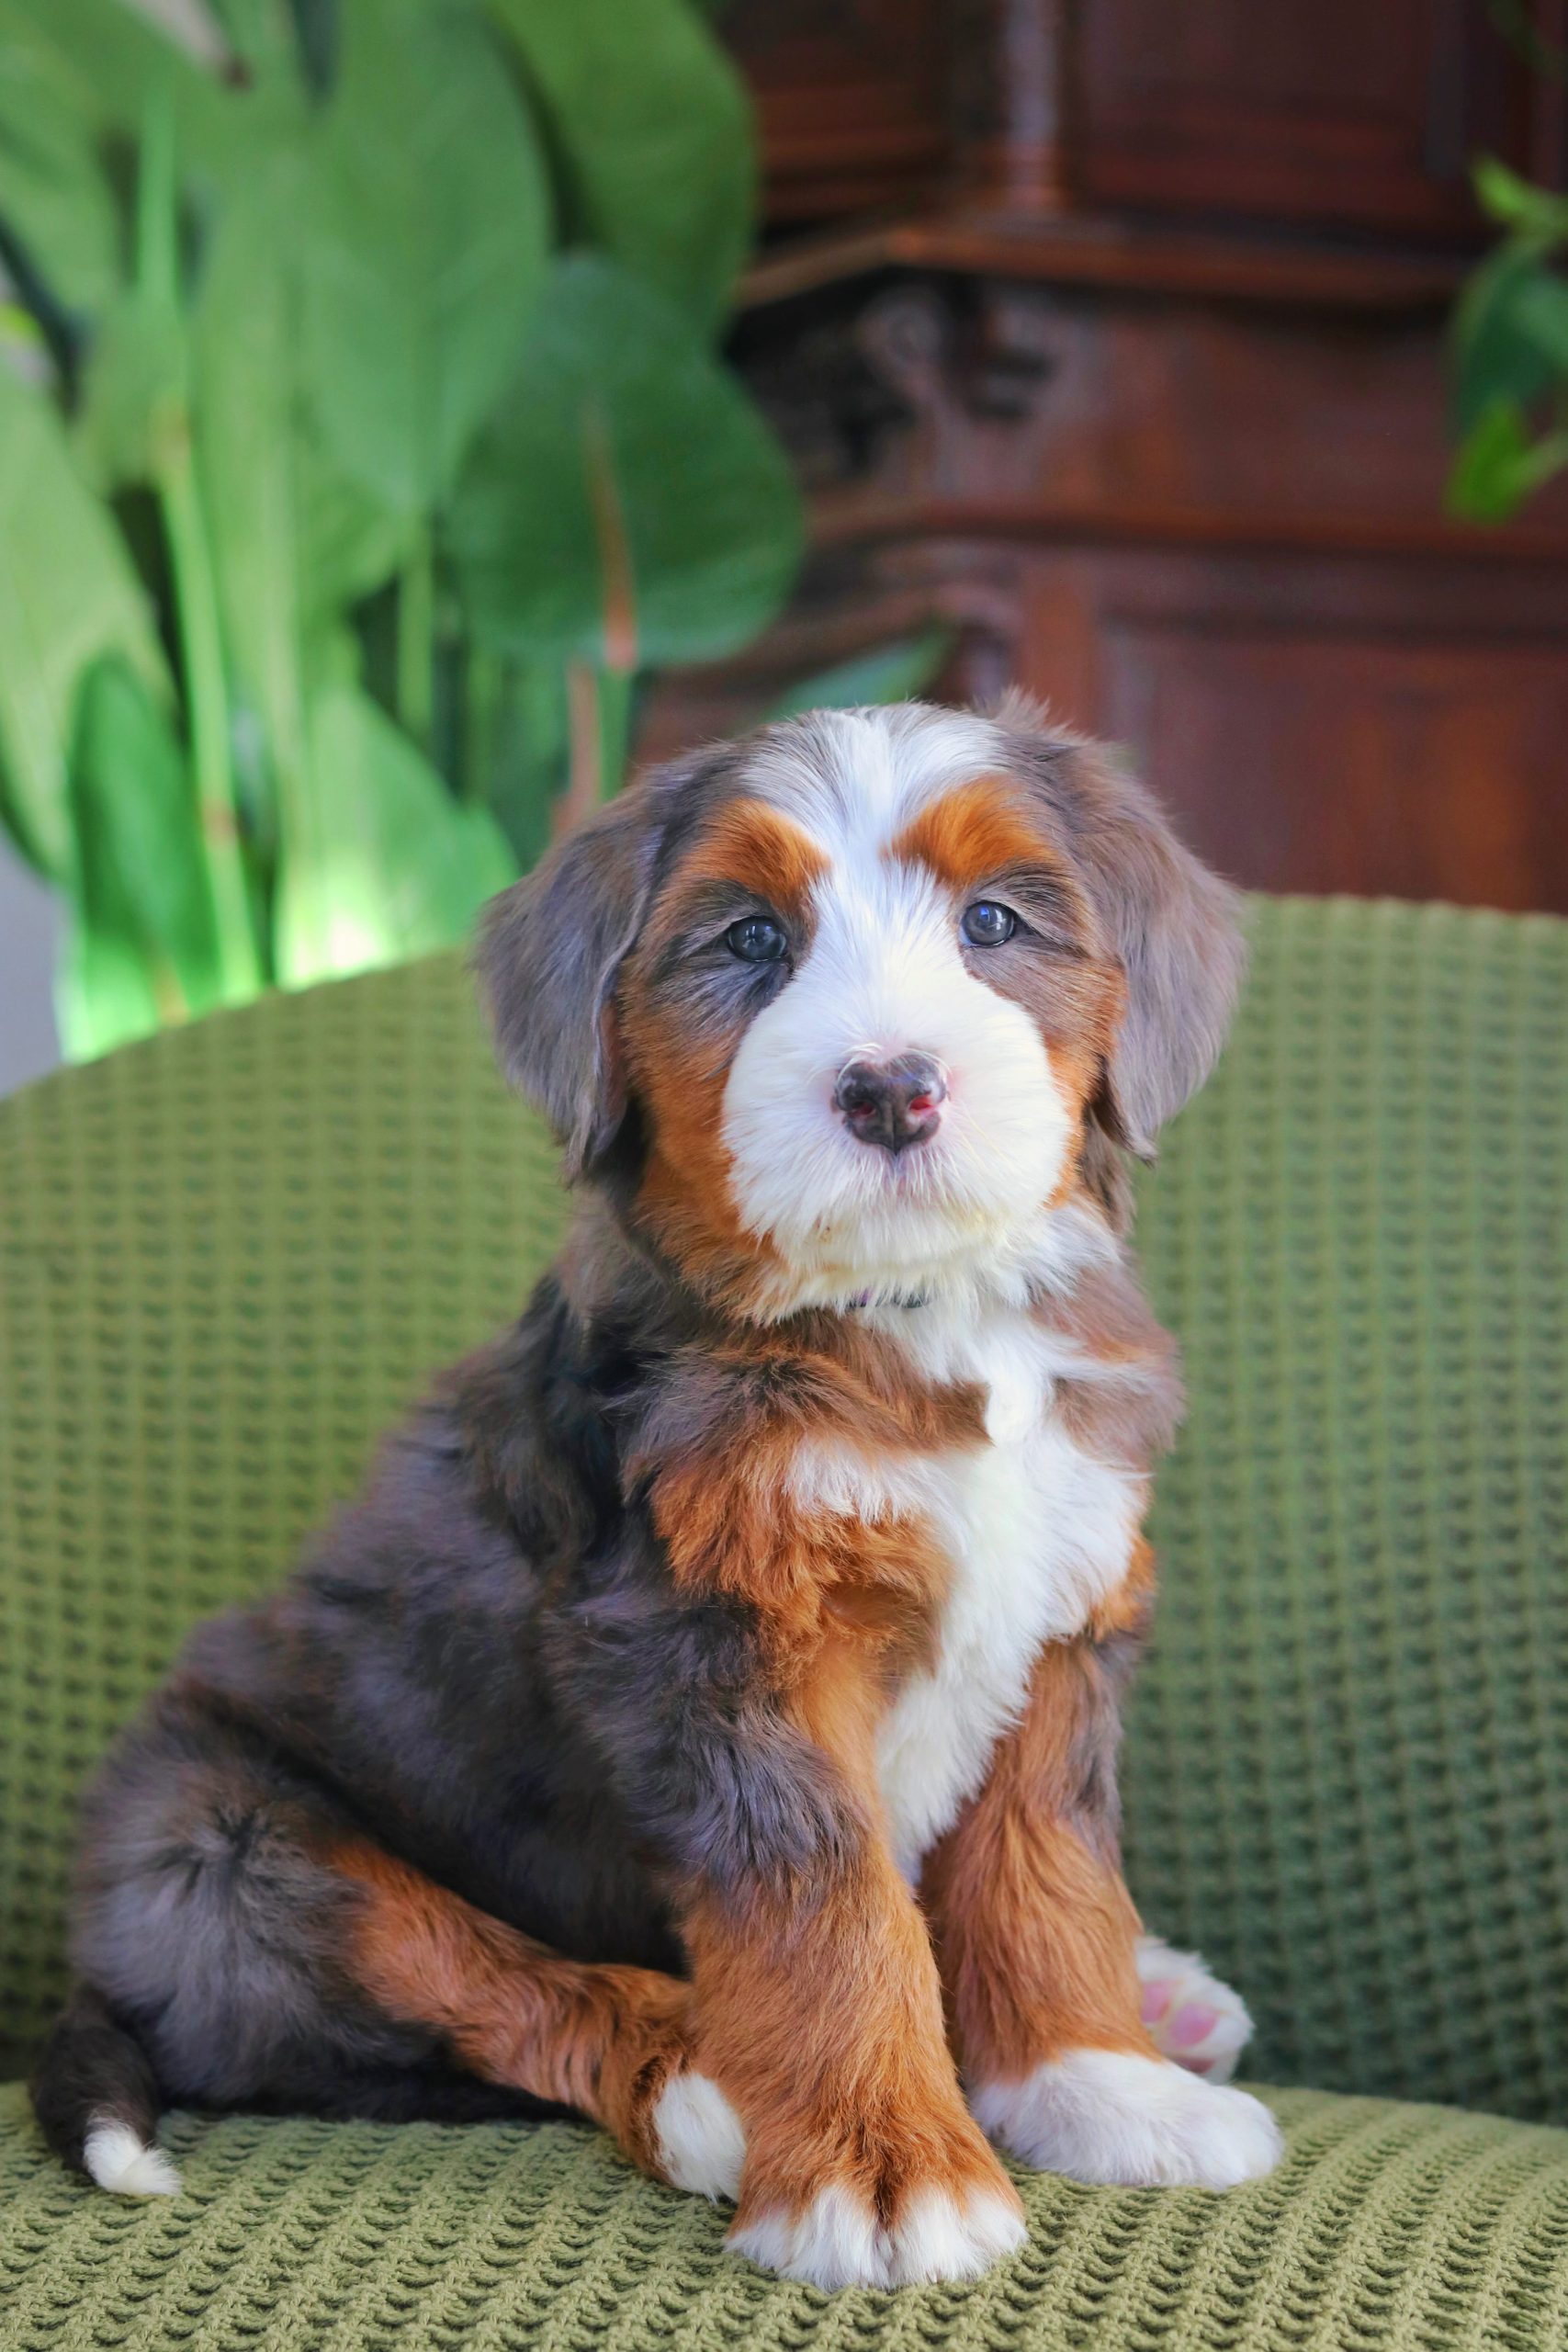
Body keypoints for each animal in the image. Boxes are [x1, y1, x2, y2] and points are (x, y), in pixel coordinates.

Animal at [31, 697, 1282, 2289]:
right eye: (748, 939)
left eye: (993, 922)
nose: (889, 1088)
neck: (916, 1318)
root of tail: (98, 1969)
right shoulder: (709, 1642)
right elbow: (823, 1911)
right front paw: (882, 2171)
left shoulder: (1058, 1611)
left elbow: (1044, 1869)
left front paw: (1098, 2085)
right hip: (225, 1844)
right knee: (477, 1983)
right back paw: (704, 2087)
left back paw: (1162, 2007)